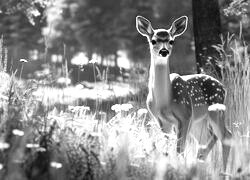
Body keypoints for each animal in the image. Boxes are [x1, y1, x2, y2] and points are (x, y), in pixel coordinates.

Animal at [135, 15, 232, 169]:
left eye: (171, 41)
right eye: (153, 40)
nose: (164, 51)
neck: (164, 102)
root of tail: (223, 87)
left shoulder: (185, 115)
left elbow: (179, 150)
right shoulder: (162, 120)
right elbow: (167, 149)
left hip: (216, 110)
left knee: (226, 136)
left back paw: (222, 170)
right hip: (199, 121)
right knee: (206, 139)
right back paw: (202, 161)